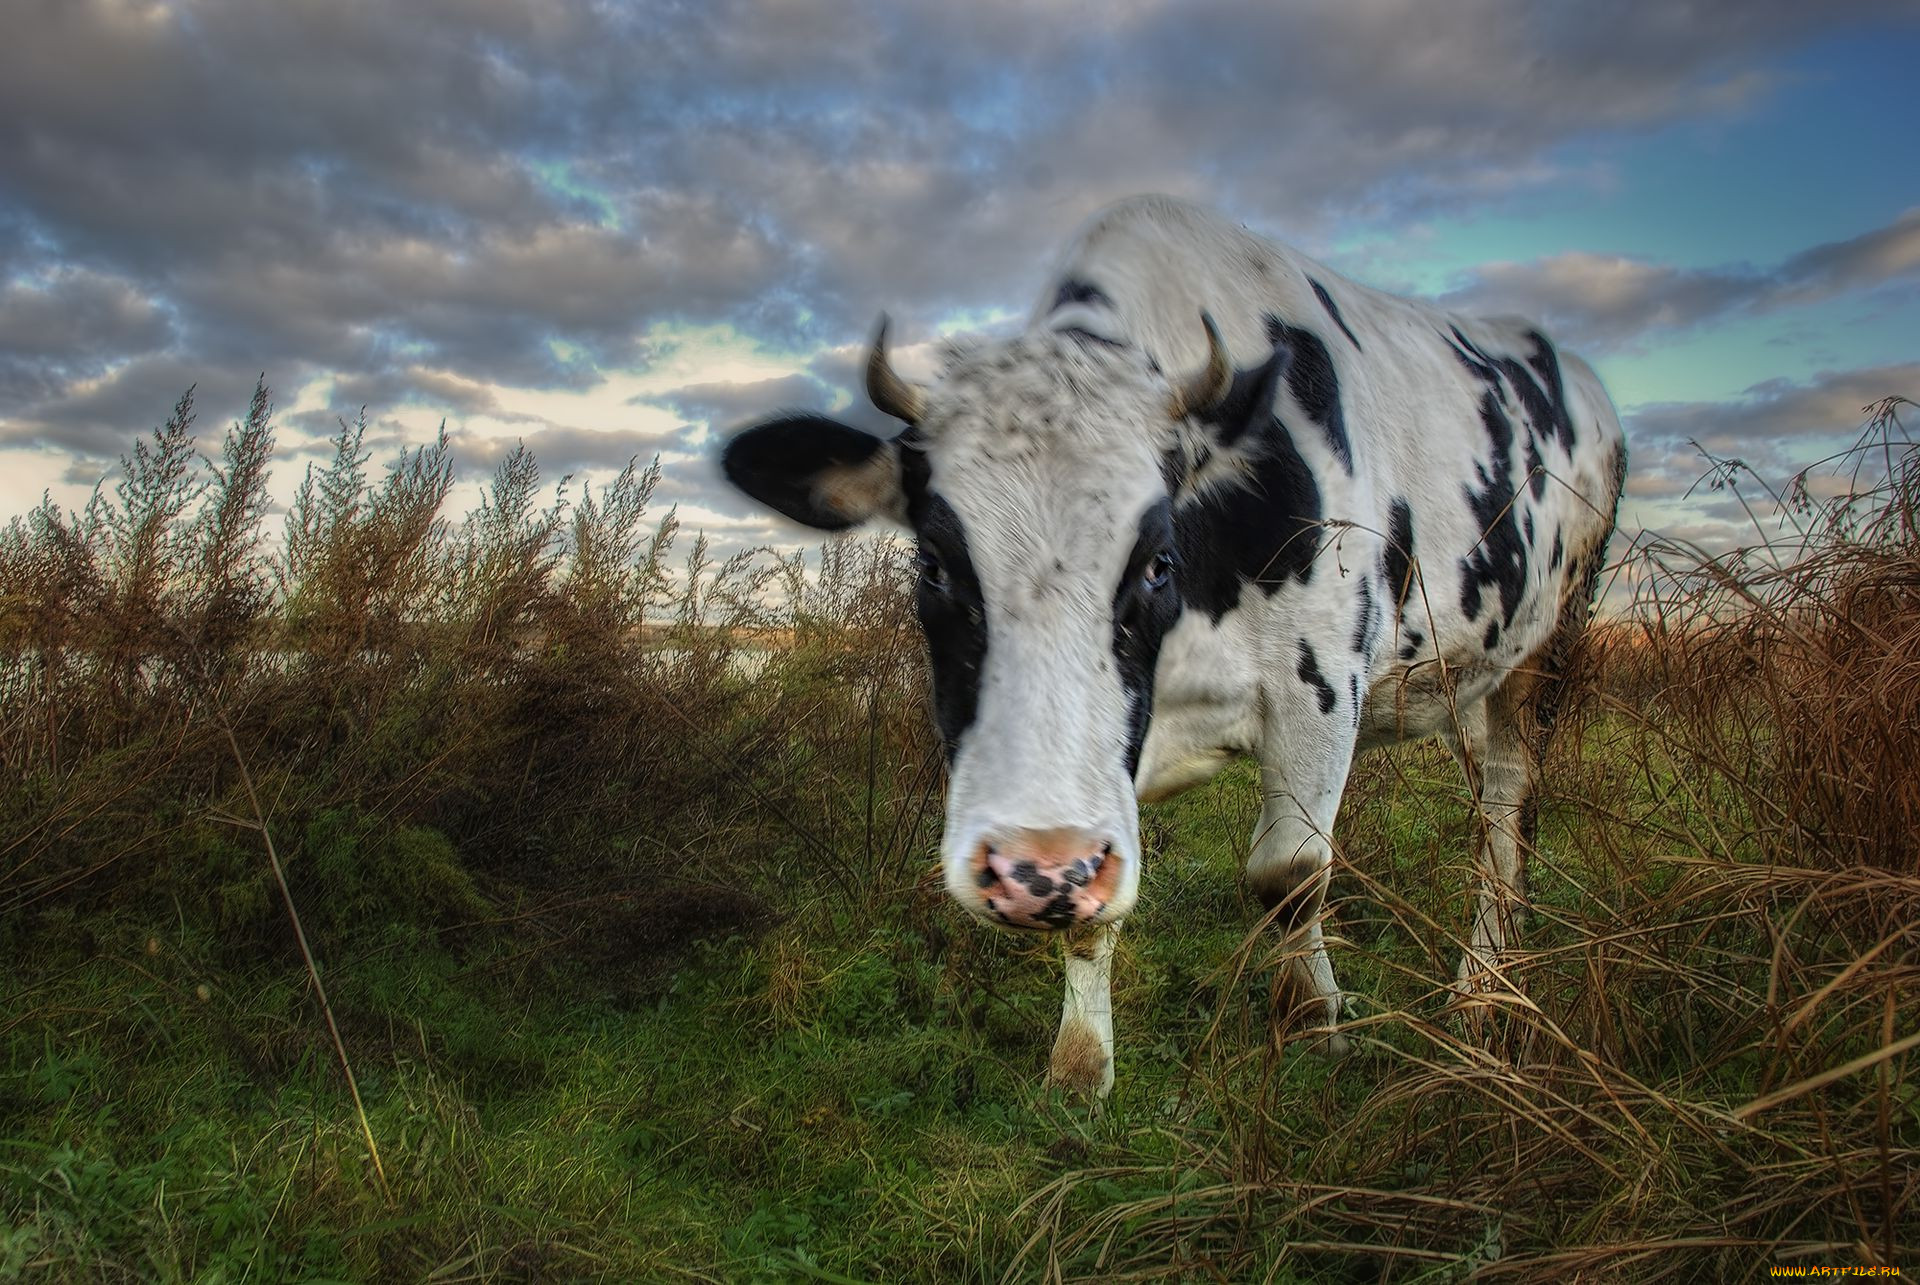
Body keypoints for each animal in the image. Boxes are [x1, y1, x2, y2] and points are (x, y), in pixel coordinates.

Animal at [721, 195, 1620, 1098]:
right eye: (932, 562)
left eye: (1158, 561)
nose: (1031, 871)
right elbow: (1093, 913)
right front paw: (1081, 1064)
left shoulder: (1323, 688)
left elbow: (1291, 875)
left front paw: (1313, 1019)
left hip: (1551, 641)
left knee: (1508, 806)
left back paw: (1484, 991)